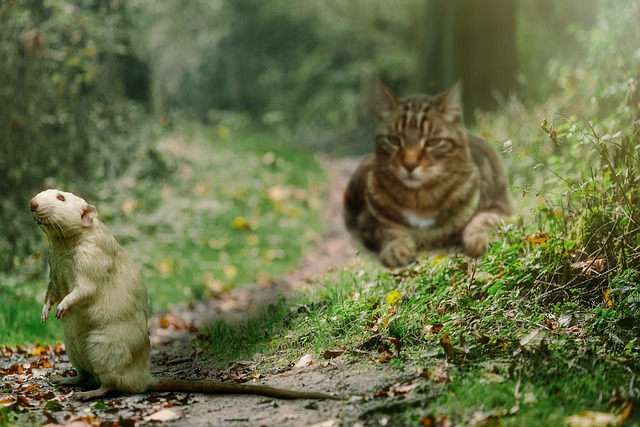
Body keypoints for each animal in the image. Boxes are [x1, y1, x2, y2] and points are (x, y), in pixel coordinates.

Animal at [342, 80, 512, 268]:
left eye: (433, 142)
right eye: (394, 140)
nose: (409, 164)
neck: (421, 199)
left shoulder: (501, 206)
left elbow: (483, 219)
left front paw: (479, 240)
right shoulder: (367, 222)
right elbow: (388, 230)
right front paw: (396, 248)